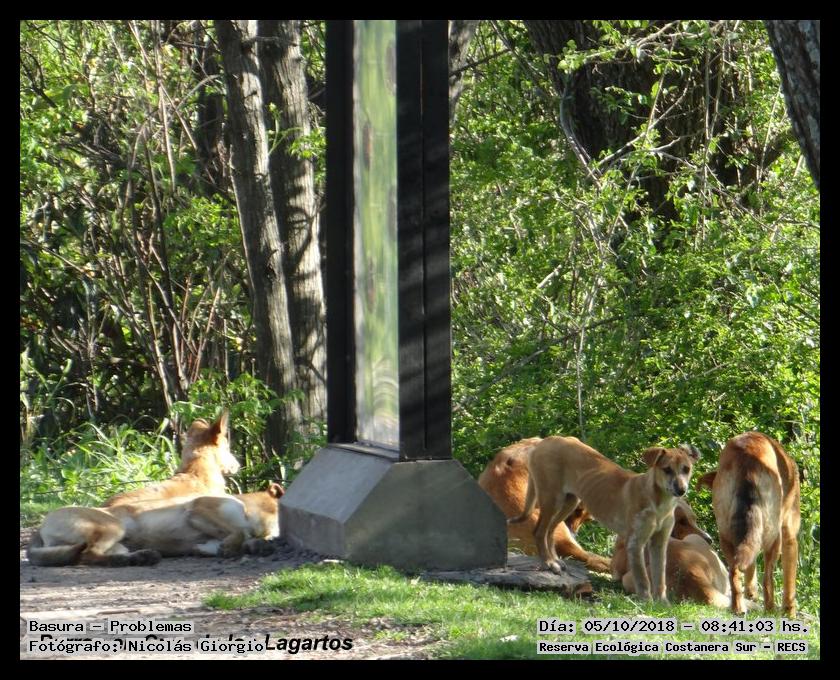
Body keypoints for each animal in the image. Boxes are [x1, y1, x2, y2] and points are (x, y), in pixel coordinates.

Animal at [27, 482, 284, 566]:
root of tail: (40, 527)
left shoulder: (207, 543)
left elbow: (242, 538)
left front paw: (257, 545)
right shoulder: (198, 508)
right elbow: (239, 531)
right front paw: (236, 544)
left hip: (119, 542)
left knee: (94, 555)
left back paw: (140, 557)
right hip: (112, 527)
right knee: (87, 555)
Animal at [509, 436, 700, 602]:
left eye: (686, 469)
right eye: (667, 469)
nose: (681, 490)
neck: (660, 503)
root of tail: (547, 440)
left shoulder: (659, 543)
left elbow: (659, 577)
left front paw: (662, 603)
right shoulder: (635, 543)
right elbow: (643, 578)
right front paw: (646, 601)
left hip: (569, 502)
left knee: (549, 531)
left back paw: (555, 560)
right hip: (551, 499)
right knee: (539, 531)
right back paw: (549, 563)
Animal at [697, 432, 801, 616]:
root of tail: (747, 458)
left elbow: (750, 570)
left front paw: (751, 594)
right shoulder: (790, 539)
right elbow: (789, 586)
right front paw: (790, 613)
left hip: (725, 535)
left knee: (734, 573)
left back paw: (738, 608)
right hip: (774, 537)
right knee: (768, 580)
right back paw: (770, 611)